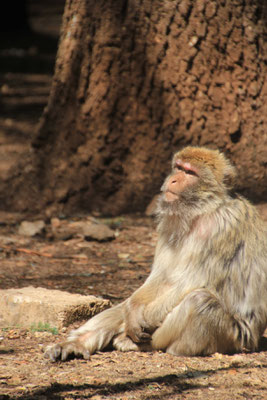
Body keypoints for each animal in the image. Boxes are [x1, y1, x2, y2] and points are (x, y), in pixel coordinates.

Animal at [44, 147, 267, 362]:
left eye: (190, 172)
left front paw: (134, 327)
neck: (201, 212)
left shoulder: (222, 228)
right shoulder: (169, 225)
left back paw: (142, 344)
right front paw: (132, 314)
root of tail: (255, 339)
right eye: (178, 167)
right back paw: (77, 343)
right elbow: (162, 277)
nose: (173, 179)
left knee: (199, 301)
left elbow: (192, 282)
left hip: (234, 337)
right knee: (128, 306)